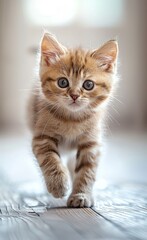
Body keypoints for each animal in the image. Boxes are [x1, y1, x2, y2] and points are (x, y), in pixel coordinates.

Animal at [28, 32, 118, 207]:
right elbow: (50, 158)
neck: (73, 119)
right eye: (63, 82)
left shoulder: (91, 142)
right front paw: (58, 184)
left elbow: (86, 170)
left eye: (88, 85)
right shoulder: (42, 137)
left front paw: (81, 195)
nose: (75, 95)